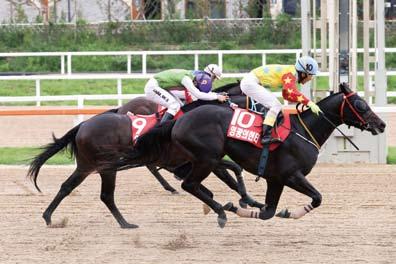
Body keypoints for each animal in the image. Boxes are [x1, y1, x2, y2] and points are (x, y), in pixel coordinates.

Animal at [27, 83, 262, 229]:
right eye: (258, 101)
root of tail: (83, 125)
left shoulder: (196, 160)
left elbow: (229, 174)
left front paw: (249, 202)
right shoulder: (199, 159)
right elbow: (228, 176)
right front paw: (245, 202)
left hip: (90, 166)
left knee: (69, 187)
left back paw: (50, 217)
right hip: (102, 166)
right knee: (105, 194)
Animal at [106, 84, 386, 227]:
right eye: (360, 104)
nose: (382, 124)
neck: (302, 130)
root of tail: (179, 120)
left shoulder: (275, 179)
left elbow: (269, 211)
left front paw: (262, 208)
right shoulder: (291, 175)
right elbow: (317, 198)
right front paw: (239, 206)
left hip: (203, 158)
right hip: (206, 158)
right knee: (189, 184)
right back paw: (219, 211)